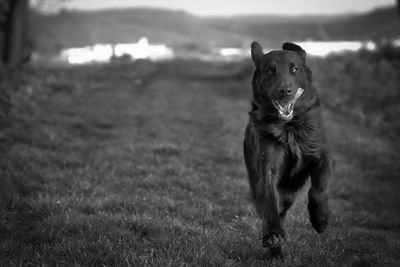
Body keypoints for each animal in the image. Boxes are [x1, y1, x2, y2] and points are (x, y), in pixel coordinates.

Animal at [242, 42, 332, 260]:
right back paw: (276, 249)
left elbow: (319, 187)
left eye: (294, 69)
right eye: (269, 70)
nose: (285, 91)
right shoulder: (266, 171)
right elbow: (270, 205)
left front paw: (320, 219)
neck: (290, 127)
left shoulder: (321, 155)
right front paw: (274, 235)